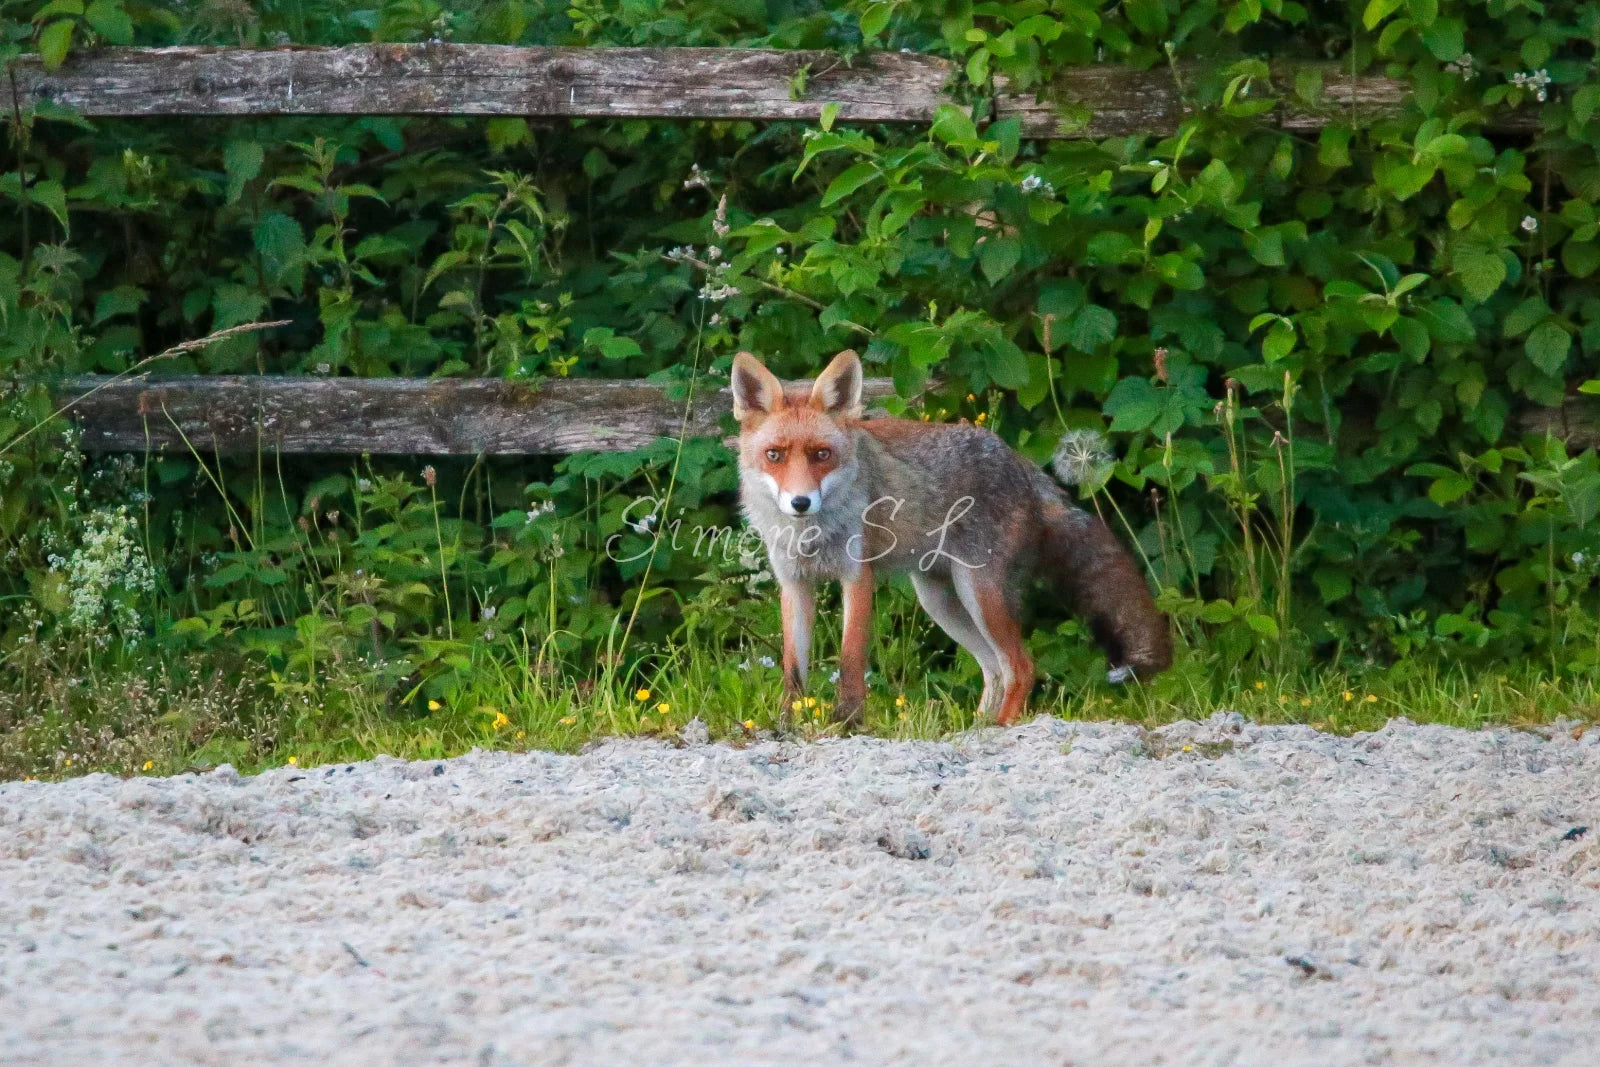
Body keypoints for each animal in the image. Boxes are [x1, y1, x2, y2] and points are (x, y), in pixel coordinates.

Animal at [732, 348, 1172, 726]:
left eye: (822, 455)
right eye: (774, 455)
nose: (801, 502)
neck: (810, 536)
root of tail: (1022, 464)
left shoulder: (857, 577)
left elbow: (850, 661)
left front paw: (849, 723)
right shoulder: (794, 583)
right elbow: (793, 670)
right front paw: (787, 724)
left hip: (981, 595)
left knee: (1022, 667)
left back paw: (1000, 728)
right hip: (941, 601)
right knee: (994, 670)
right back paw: (975, 729)